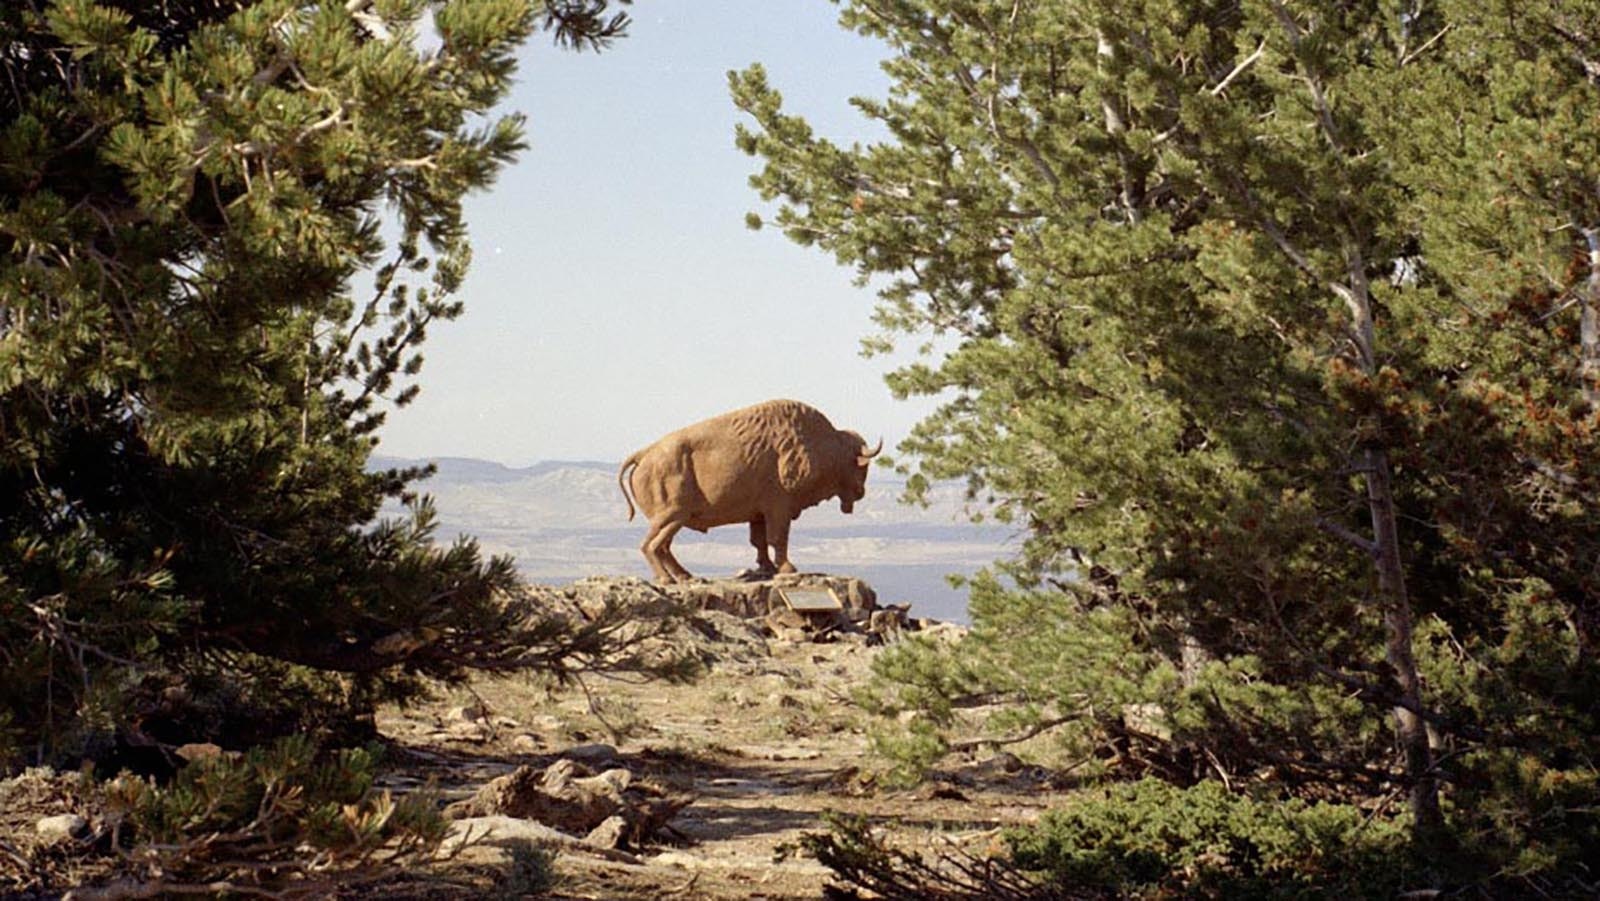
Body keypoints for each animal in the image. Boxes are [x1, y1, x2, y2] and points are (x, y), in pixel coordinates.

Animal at [618, 399, 881, 584]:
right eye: (860, 466)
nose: (861, 492)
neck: (820, 443)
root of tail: (644, 454)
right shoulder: (779, 508)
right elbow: (778, 538)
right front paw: (787, 568)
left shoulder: (758, 514)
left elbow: (760, 541)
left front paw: (767, 568)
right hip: (673, 516)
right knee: (651, 546)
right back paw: (668, 579)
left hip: (675, 519)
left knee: (662, 547)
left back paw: (684, 576)